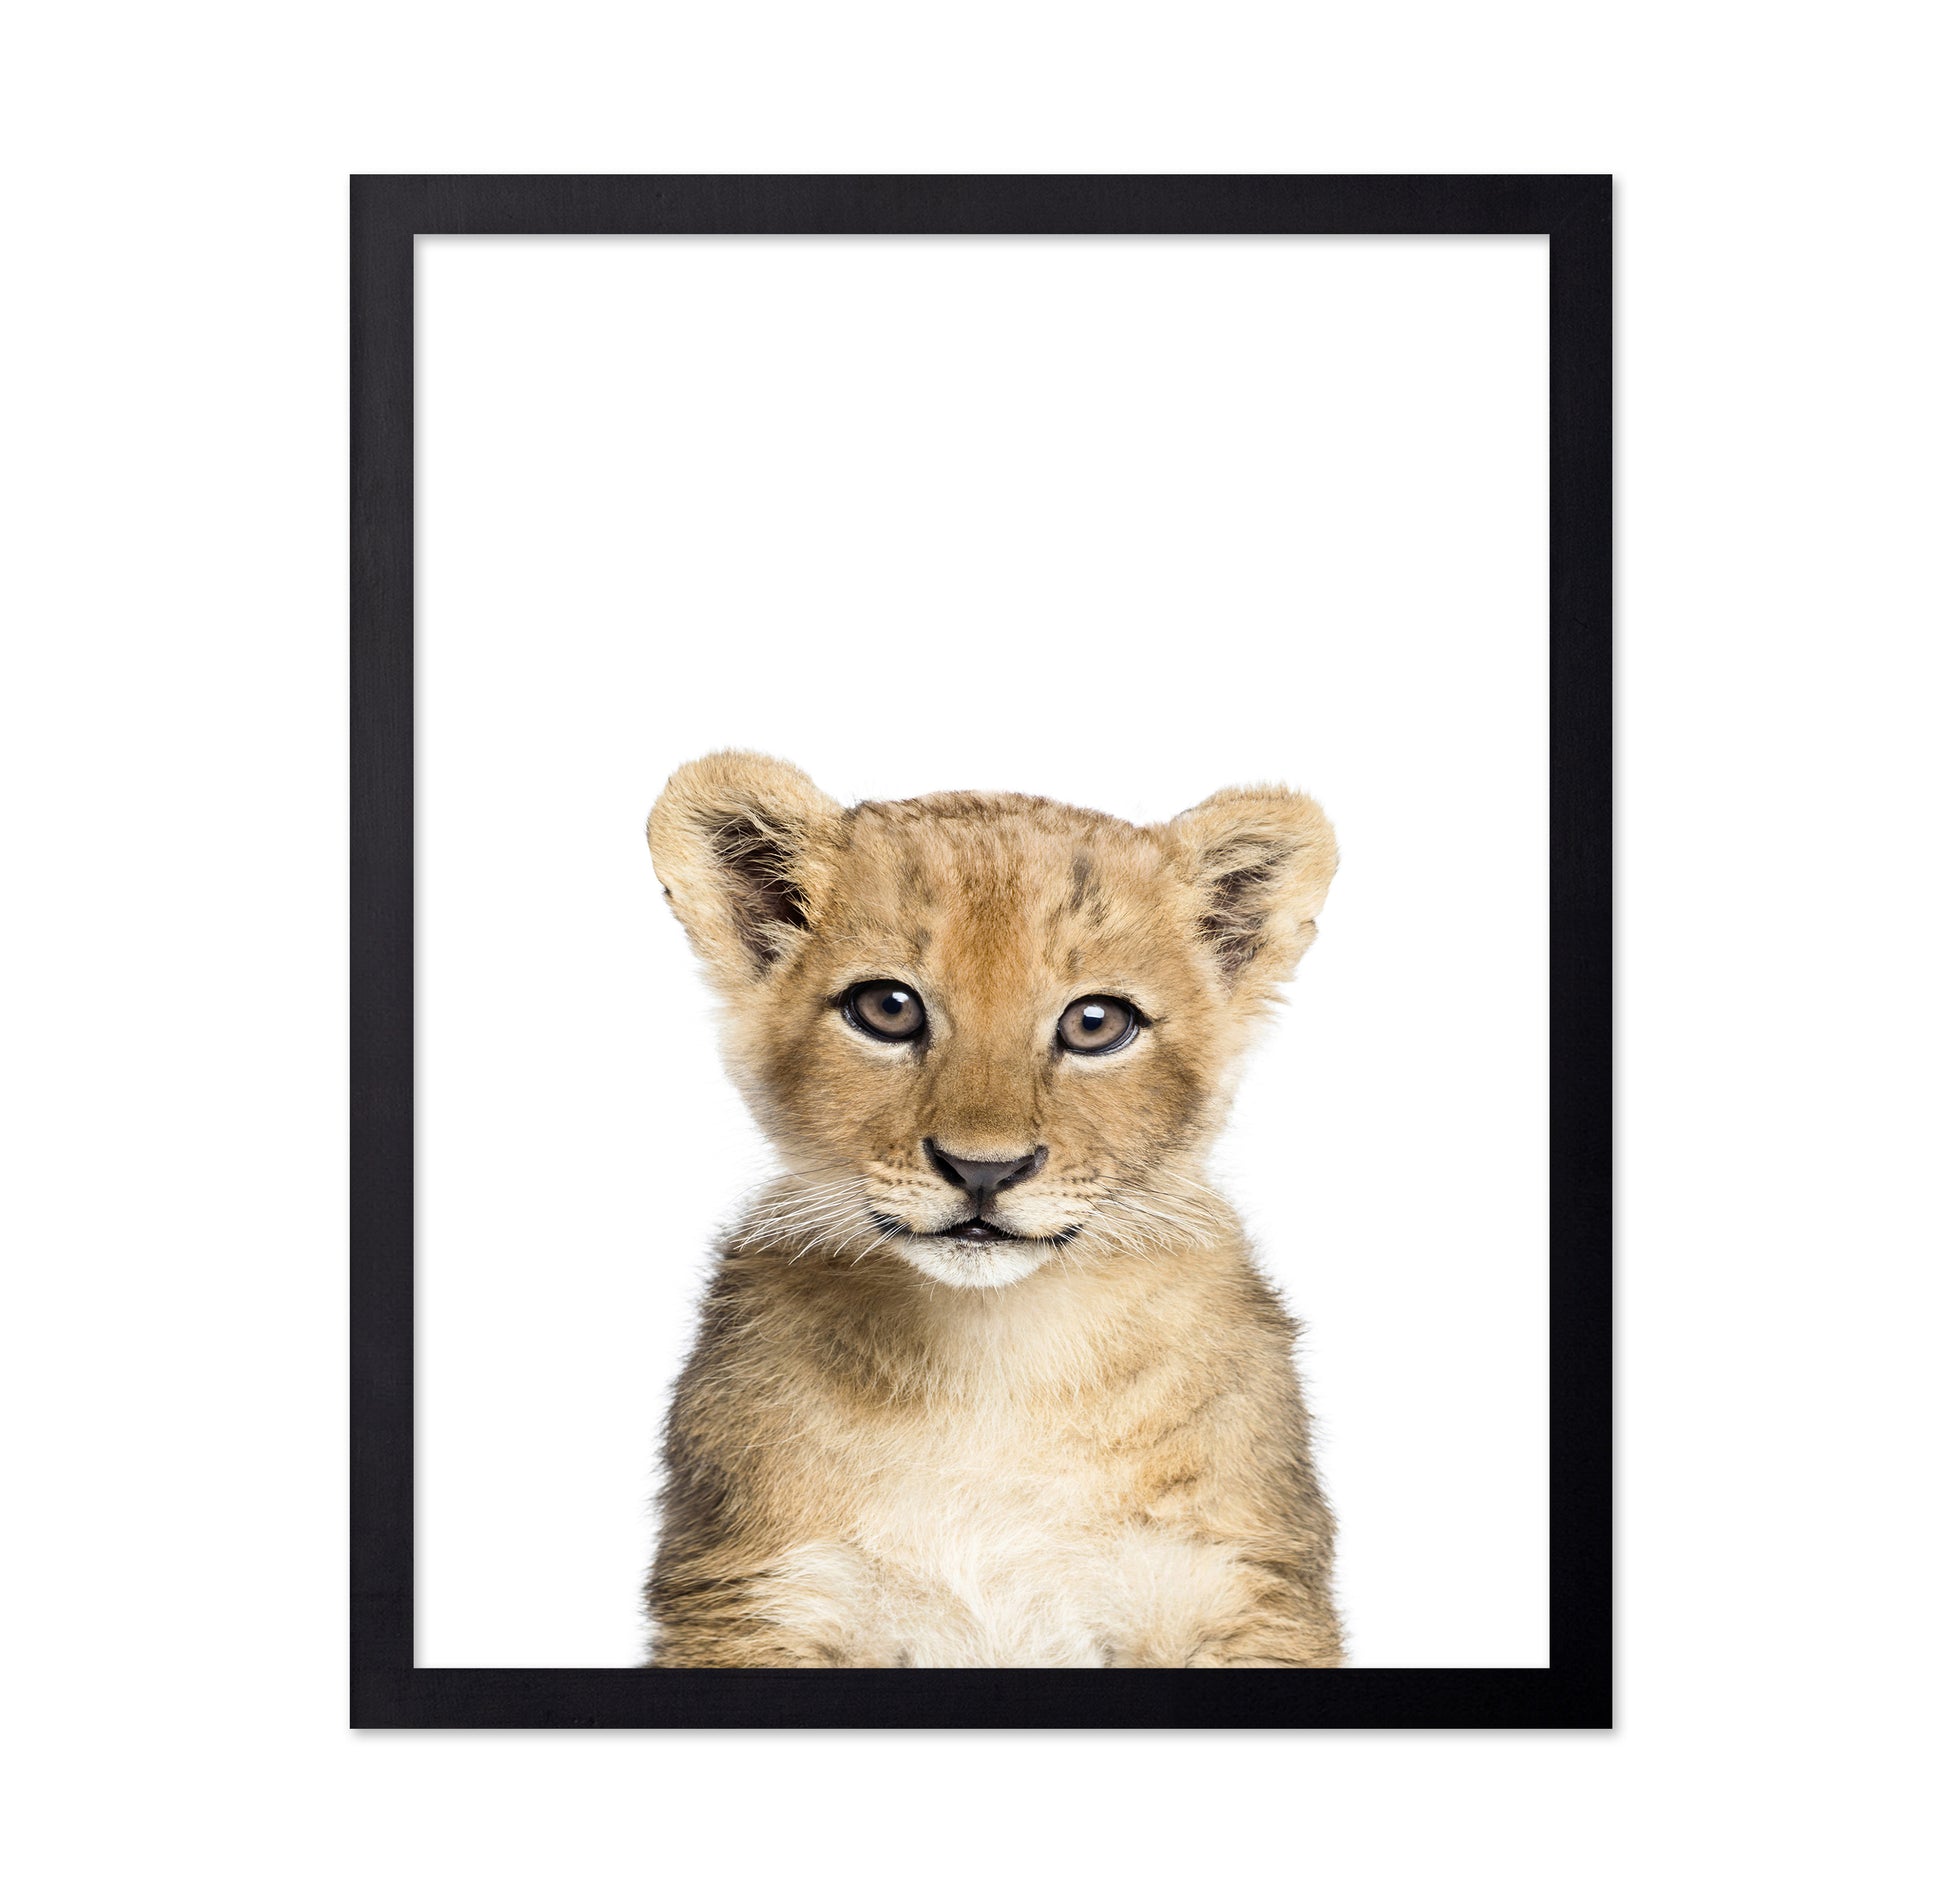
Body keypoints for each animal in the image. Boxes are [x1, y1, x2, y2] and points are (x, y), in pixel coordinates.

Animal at [642, 751, 1344, 1667]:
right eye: (888, 1008)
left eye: (1096, 1022)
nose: (984, 1169)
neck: (994, 1359)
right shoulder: (759, 1595)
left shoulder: (1238, 1588)